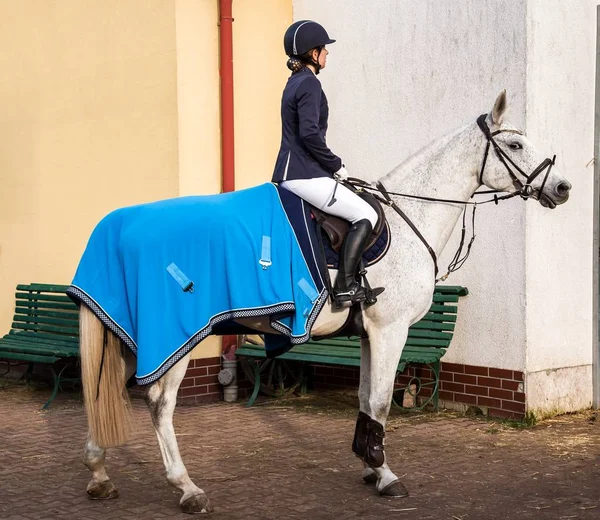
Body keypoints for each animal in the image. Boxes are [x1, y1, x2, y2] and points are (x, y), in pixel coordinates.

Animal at [79, 92, 572, 512]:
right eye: (514, 143)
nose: (563, 188)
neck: (408, 217)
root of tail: (119, 224)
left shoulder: (371, 334)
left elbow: (365, 398)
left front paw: (369, 464)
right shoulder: (391, 329)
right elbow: (381, 402)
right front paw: (385, 475)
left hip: (126, 336)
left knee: (104, 391)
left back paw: (99, 475)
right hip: (175, 338)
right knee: (159, 404)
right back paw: (186, 488)